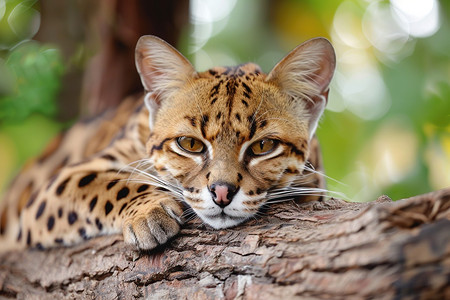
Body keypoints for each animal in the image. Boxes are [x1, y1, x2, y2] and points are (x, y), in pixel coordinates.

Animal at [0, 34, 334, 251]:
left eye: (263, 147)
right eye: (190, 144)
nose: (222, 193)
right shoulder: (56, 184)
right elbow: (112, 183)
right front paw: (150, 212)